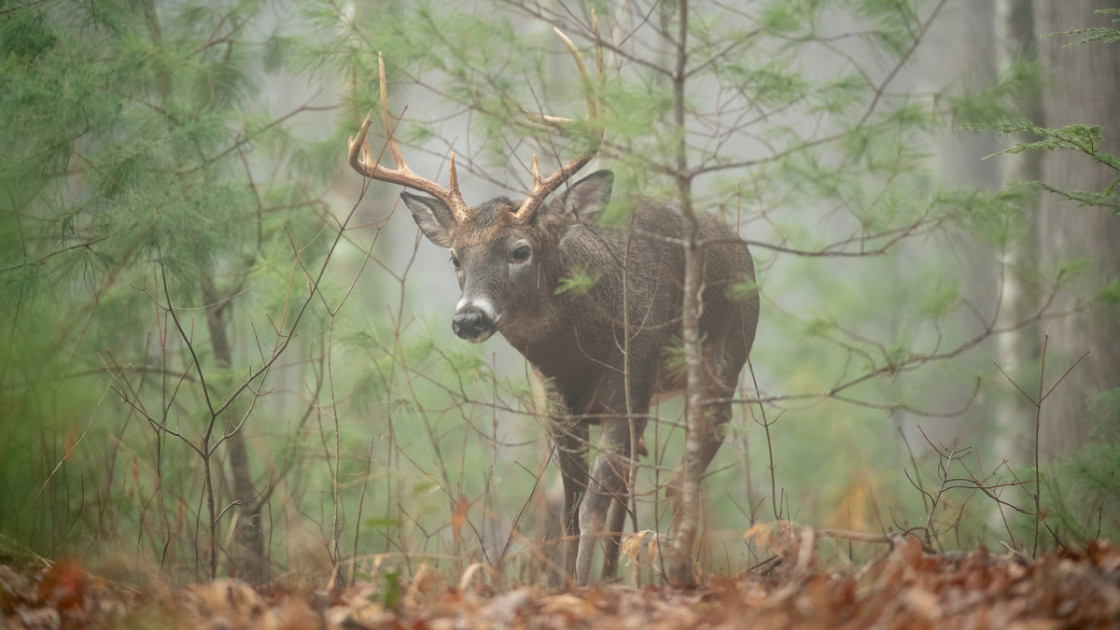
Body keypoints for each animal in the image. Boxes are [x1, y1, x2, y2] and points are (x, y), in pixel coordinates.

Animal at [344, 25, 757, 582]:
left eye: (521, 250)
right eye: (454, 257)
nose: (469, 317)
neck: (581, 348)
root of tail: (740, 246)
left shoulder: (628, 385)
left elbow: (591, 507)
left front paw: (581, 586)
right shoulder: (561, 409)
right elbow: (569, 508)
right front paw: (565, 582)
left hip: (721, 366)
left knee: (678, 480)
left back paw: (673, 571)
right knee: (633, 484)